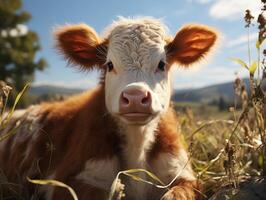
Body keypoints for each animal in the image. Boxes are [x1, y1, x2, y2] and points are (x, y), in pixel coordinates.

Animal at [0, 17, 216, 200]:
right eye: (109, 65)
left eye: (162, 64)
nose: (135, 96)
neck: (137, 147)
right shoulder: (71, 181)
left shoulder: (183, 174)